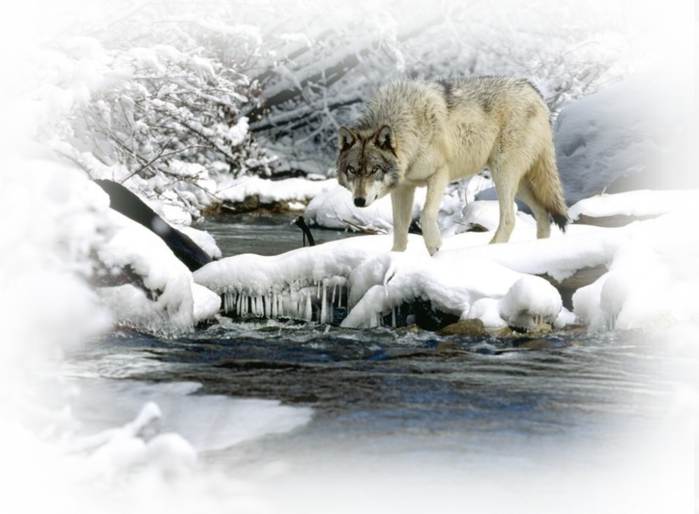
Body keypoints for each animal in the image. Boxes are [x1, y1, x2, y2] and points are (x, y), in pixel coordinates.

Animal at [336, 76, 572, 254]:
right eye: (352, 170)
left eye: (374, 170)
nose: (358, 201)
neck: (409, 125)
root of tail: (534, 90)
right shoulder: (403, 188)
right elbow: (400, 230)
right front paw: (395, 258)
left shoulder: (440, 174)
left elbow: (426, 214)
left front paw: (435, 247)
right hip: (518, 182)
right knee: (542, 214)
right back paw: (538, 248)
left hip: (503, 174)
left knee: (509, 219)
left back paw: (490, 250)